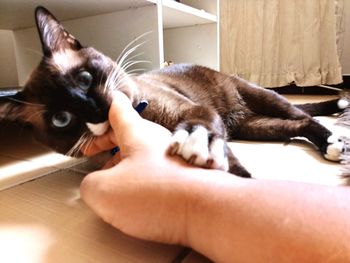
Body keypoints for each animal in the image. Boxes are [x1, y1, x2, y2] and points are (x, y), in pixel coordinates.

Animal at [0, 6, 348, 179]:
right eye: (61, 119)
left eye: (84, 78)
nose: (96, 110)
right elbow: (233, 171)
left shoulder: (189, 112)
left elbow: (201, 128)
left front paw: (196, 143)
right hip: (255, 127)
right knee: (296, 126)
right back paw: (330, 146)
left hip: (262, 97)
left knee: (304, 116)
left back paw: (334, 141)